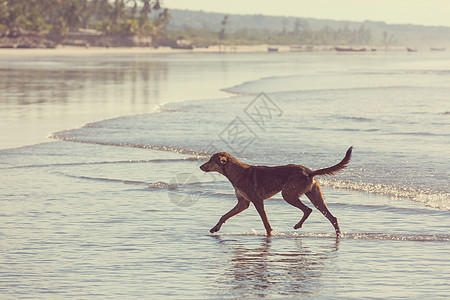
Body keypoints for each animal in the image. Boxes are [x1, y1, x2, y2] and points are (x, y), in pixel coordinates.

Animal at [200, 147, 352, 237]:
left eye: (211, 160)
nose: (200, 166)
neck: (237, 173)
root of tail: (309, 172)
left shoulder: (257, 201)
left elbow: (266, 223)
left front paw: (269, 234)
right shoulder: (243, 203)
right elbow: (224, 216)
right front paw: (215, 228)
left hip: (288, 194)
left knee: (308, 210)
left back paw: (299, 225)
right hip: (315, 197)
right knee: (331, 217)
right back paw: (338, 236)